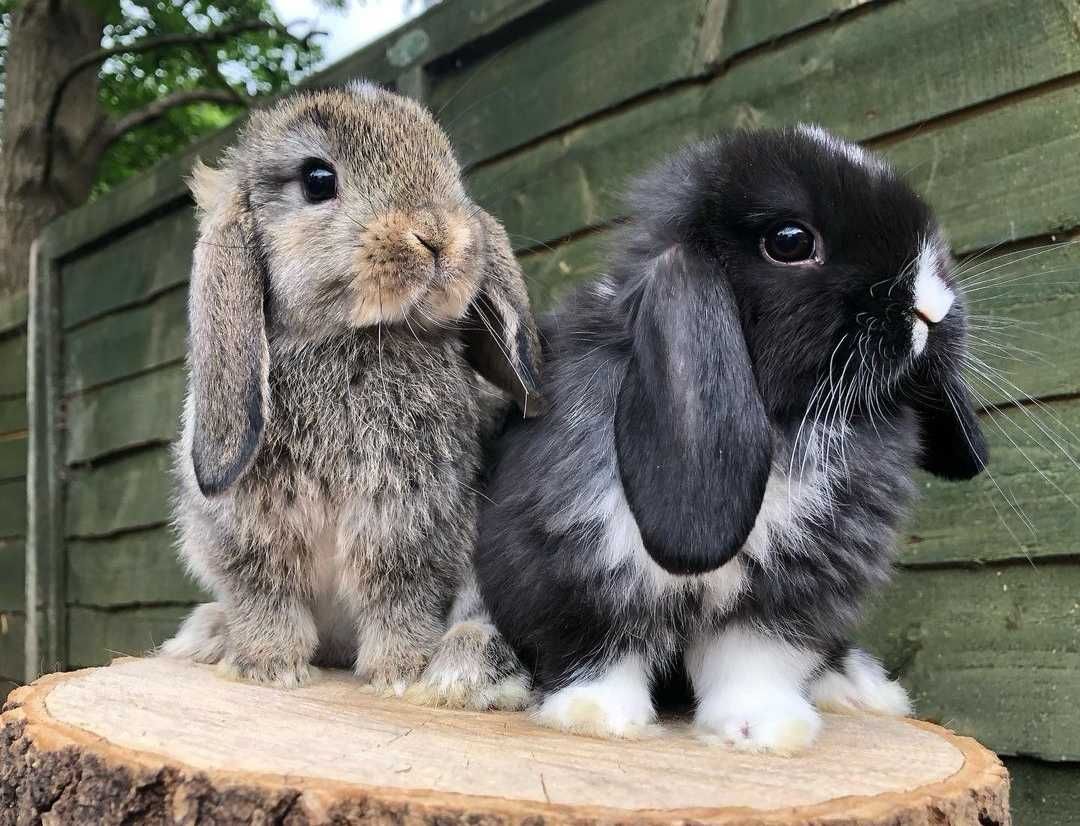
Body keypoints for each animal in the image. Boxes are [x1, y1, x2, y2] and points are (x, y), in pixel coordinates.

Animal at [475, 125, 989, 751]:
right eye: (790, 241)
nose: (933, 305)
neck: (782, 420)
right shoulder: (572, 564)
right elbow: (602, 646)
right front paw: (598, 718)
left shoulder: (789, 592)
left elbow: (752, 659)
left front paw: (764, 731)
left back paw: (858, 687)